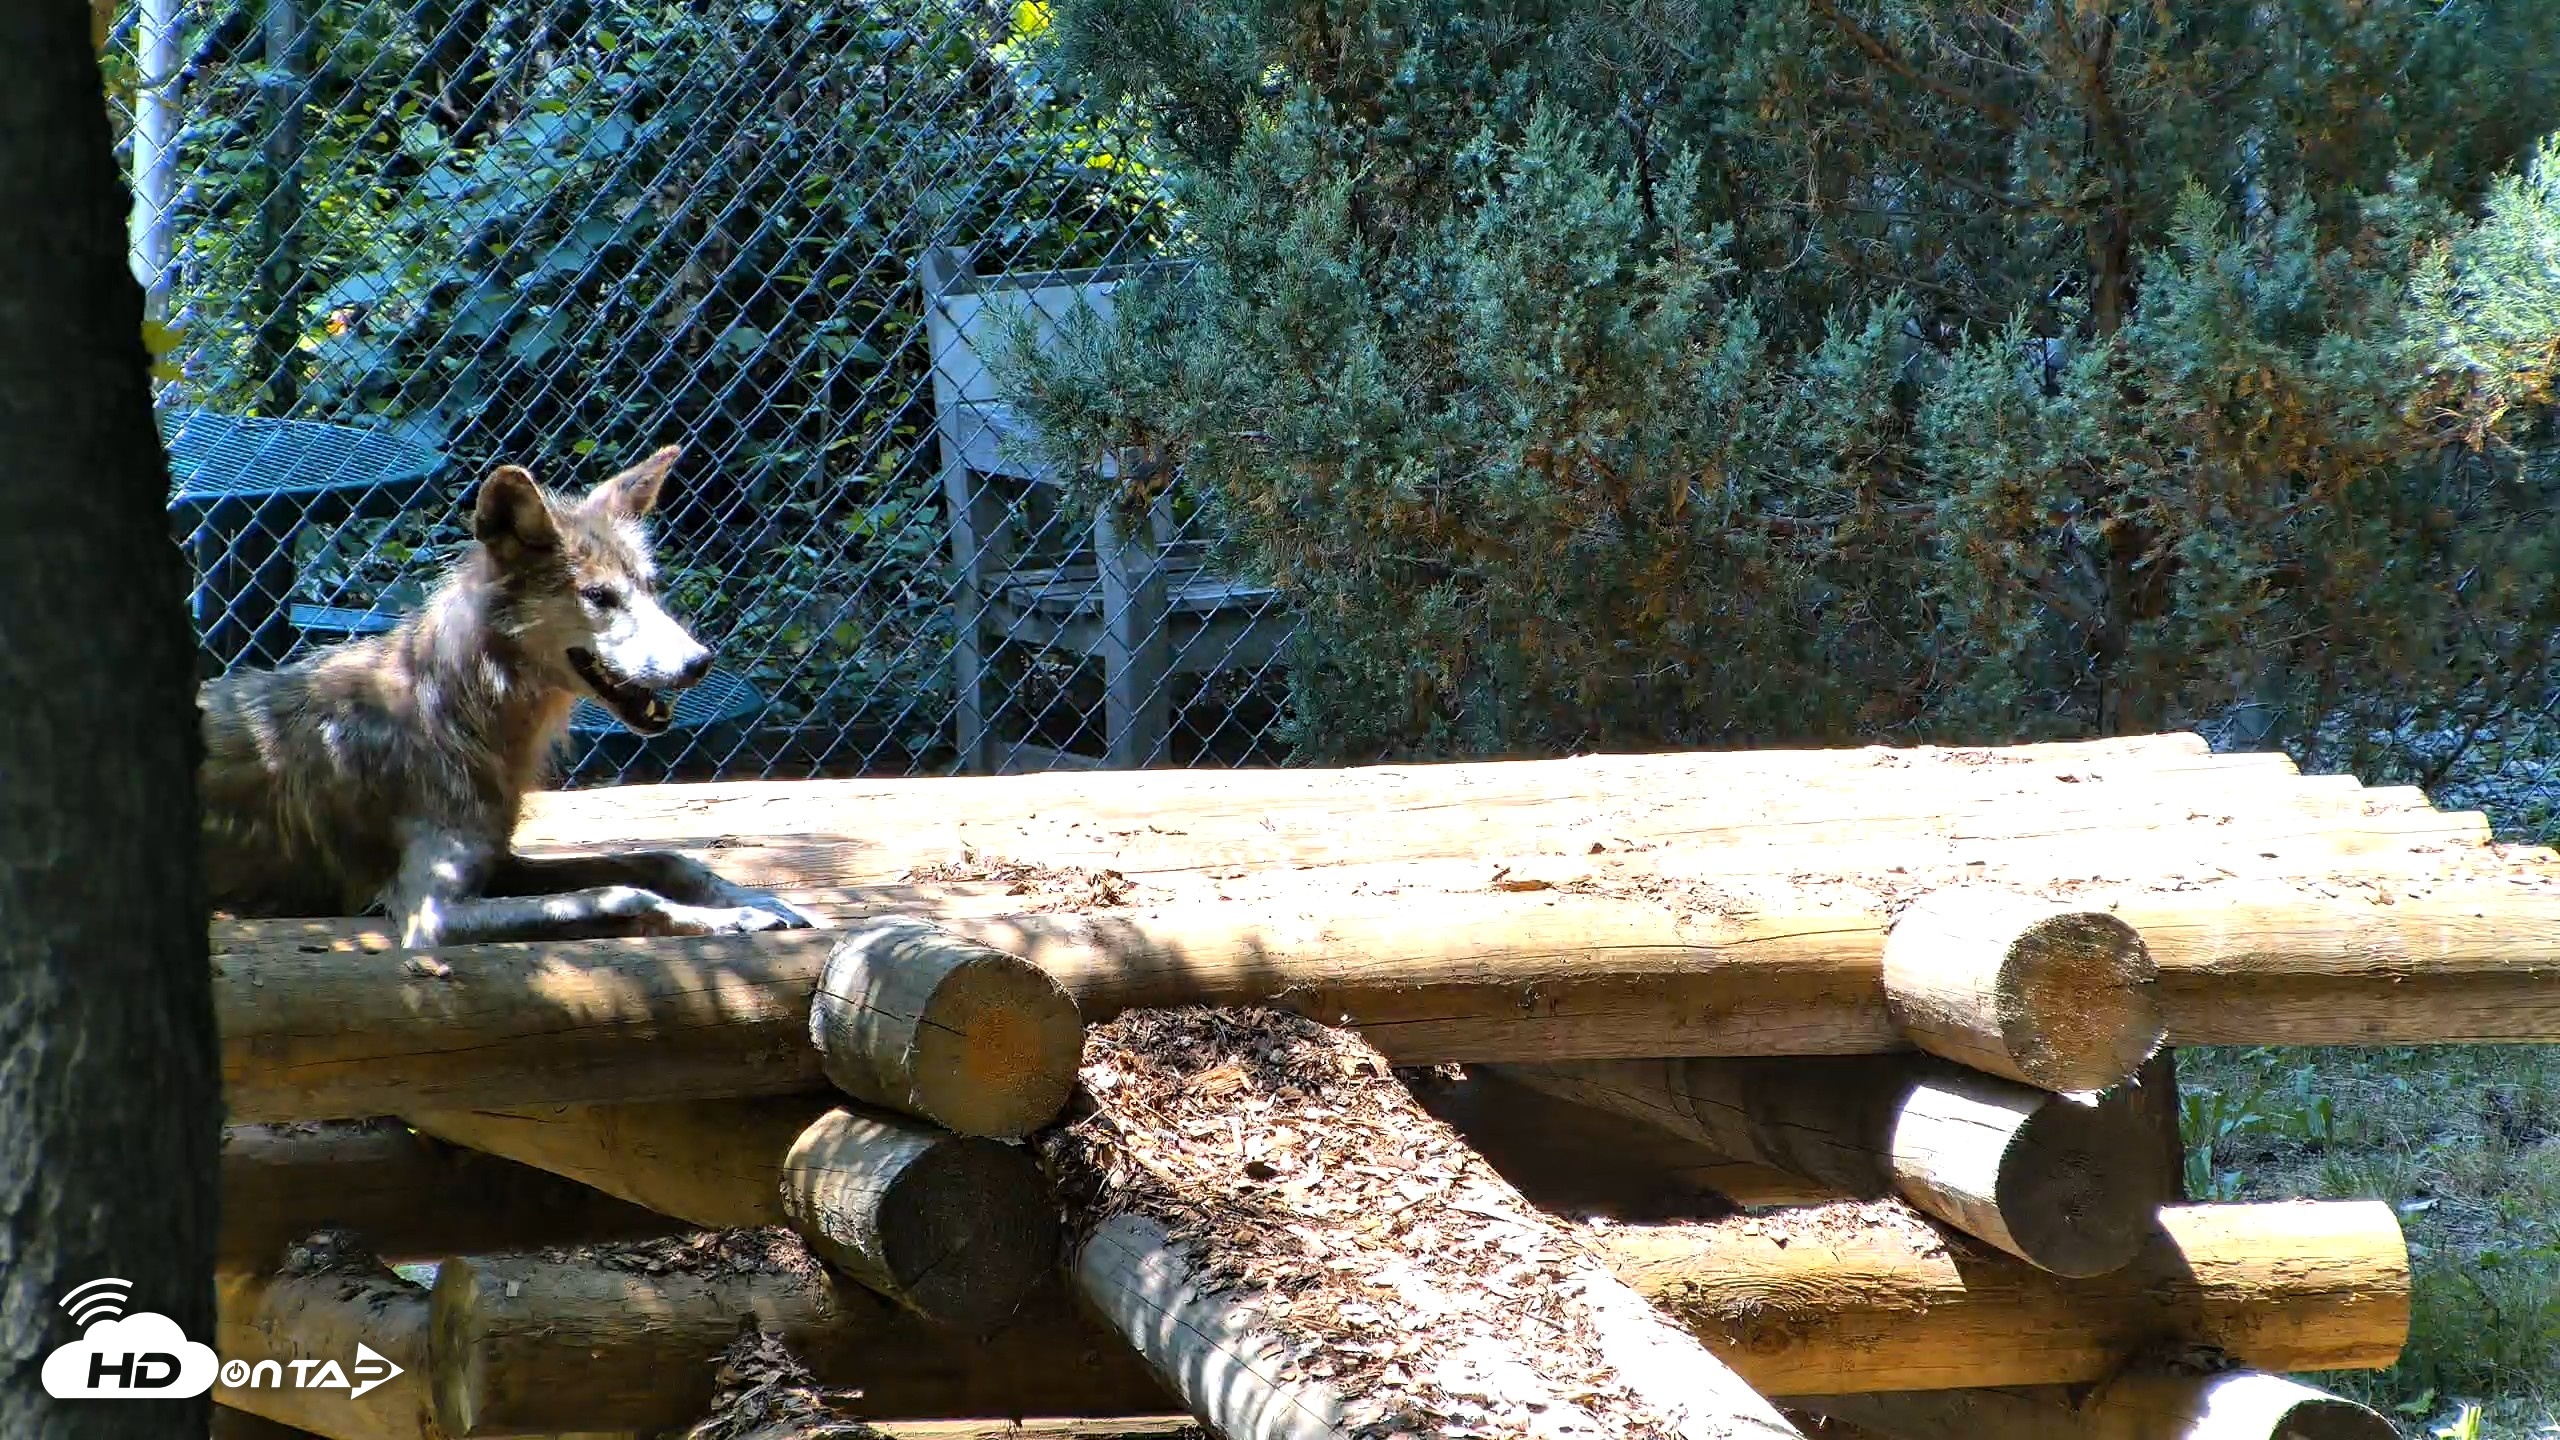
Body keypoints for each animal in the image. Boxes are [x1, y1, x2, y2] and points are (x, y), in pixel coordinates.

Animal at [198, 444, 816, 947]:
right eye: (598, 596)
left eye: (650, 587)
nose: (699, 662)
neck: (456, 717)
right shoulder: (430, 913)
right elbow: (620, 893)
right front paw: (731, 920)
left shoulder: (500, 861)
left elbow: (660, 860)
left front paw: (755, 898)